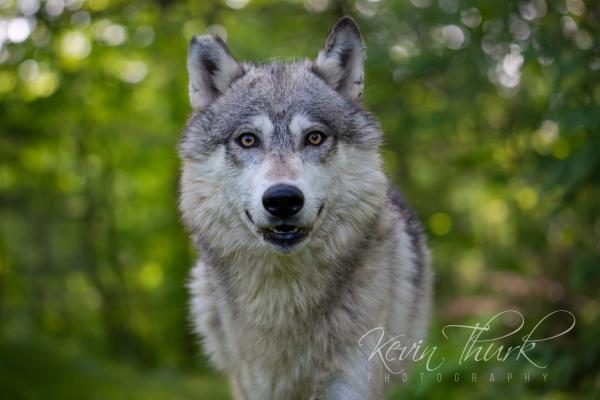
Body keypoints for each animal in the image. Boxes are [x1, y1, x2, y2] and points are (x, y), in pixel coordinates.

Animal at [177, 16, 432, 400]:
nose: (283, 199)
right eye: (247, 139)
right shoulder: (252, 385)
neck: (285, 303)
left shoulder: (351, 380)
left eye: (314, 137)